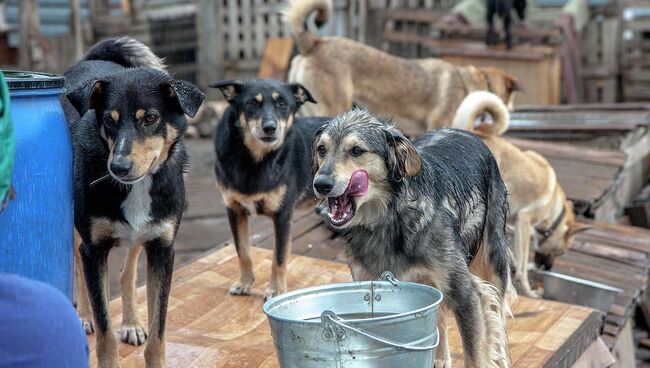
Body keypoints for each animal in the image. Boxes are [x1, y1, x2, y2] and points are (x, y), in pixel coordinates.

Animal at [63, 35, 204, 368]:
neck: (138, 186)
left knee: (127, 274)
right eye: (108, 120)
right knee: (79, 266)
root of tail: (91, 58)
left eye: (150, 118)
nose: (118, 167)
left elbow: (158, 333)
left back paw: (131, 322)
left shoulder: (162, 250)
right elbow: (105, 331)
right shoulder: (93, 249)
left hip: (140, 237)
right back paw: (84, 316)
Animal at [312, 109, 512, 368]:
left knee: (500, 317)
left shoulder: (467, 294)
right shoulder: (368, 285)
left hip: (494, 260)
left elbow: (475, 355)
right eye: (321, 149)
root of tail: (464, 131)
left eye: (356, 150)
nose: (320, 184)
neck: (388, 218)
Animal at [450, 90, 588, 298]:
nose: (546, 268)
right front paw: (529, 290)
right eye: (560, 252)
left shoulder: (513, 223)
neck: (554, 210)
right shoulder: (525, 220)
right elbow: (522, 264)